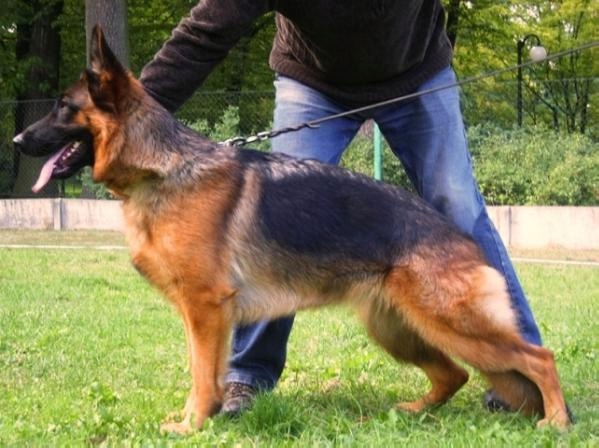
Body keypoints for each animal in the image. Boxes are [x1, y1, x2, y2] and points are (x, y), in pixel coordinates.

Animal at [13, 26, 571, 433]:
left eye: (64, 107)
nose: (16, 141)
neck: (164, 168)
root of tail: (464, 239)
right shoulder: (204, 315)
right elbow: (205, 372)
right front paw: (204, 417)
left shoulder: (205, 308)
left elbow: (202, 376)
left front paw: (192, 426)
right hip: (396, 329)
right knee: (454, 373)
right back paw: (414, 411)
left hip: (452, 324)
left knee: (538, 357)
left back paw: (557, 421)